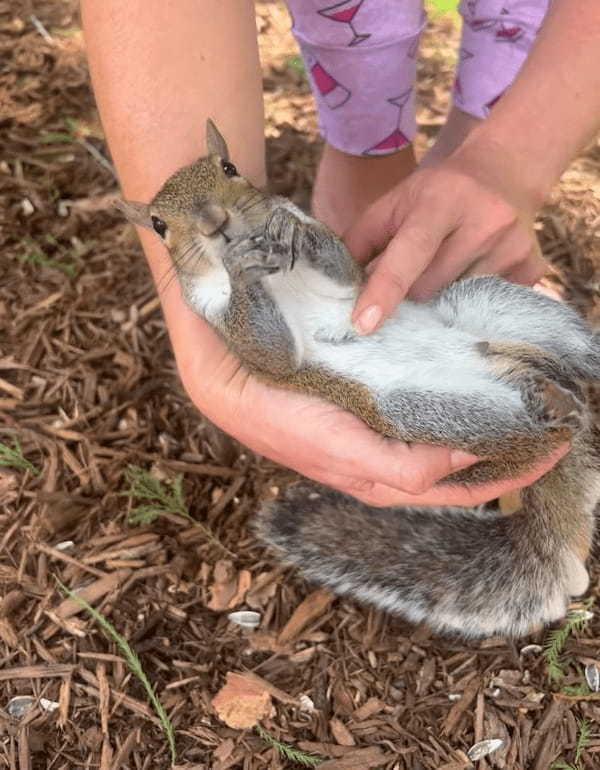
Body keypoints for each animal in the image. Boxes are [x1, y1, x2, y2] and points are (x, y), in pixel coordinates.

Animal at [119, 118, 600, 636]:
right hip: (417, 409)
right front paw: (240, 268)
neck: (274, 276)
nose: (214, 222)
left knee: (573, 355)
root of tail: (513, 366)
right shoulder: (224, 325)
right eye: (159, 226)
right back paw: (548, 407)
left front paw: (295, 231)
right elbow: (275, 356)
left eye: (229, 168)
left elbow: (342, 269)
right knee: (539, 429)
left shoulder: (349, 286)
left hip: (493, 305)